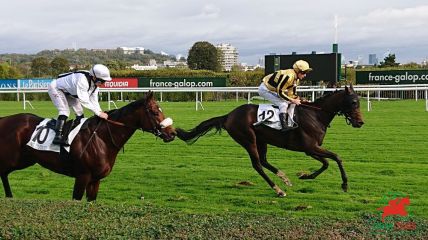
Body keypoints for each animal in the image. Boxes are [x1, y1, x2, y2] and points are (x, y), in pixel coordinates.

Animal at [0, 92, 176, 201]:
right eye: (155, 112)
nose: (172, 133)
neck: (102, 139)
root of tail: (4, 119)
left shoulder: (95, 180)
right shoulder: (82, 176)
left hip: (24, 160)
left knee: (4, 173)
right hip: (13, 158)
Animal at [177, 85, 364, 196]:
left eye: (359, 102)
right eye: (353, 102)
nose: (360, 122)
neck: (315, 115)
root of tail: (228, 115)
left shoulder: (310, 149)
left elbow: (326, 163)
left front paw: (306, 176)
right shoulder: (311, 147)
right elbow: (337, 157)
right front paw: (345, 184)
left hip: (262, 140)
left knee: (264, 161)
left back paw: (284, 178)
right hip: (248, 140)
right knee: (257, 164)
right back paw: (278, 189)